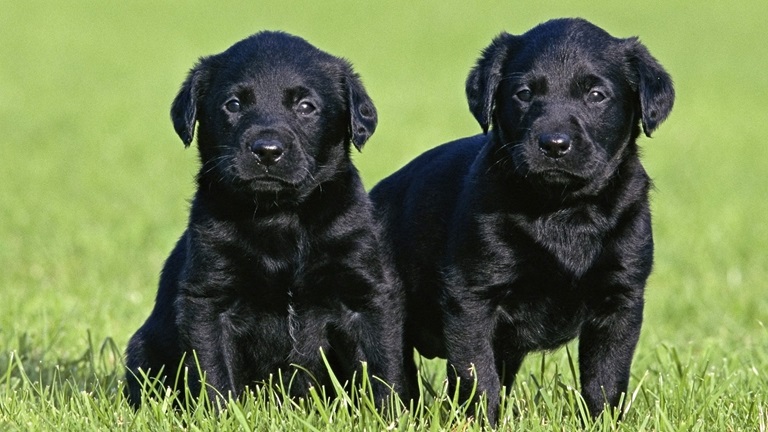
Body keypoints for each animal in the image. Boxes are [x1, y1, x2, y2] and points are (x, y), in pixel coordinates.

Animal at [124, 32, 408, 406]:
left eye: (306, 106)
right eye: (233, 104)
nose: (268, 151)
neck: (279, 215)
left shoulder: (366, 294)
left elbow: (382, 369)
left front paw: (388, 413)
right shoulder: (208, 302)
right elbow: (215, 374)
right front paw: (224, 414)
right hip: (143, 351)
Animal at [368, 18, 676, 424]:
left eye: (596, 95)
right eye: (524, 94)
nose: (554, 144)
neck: (563, 212)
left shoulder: (620, 301)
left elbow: (606, 378)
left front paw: (603, 421)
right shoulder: (472, 299)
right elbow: (478, 375)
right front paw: (480, 423)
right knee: (390, 374)